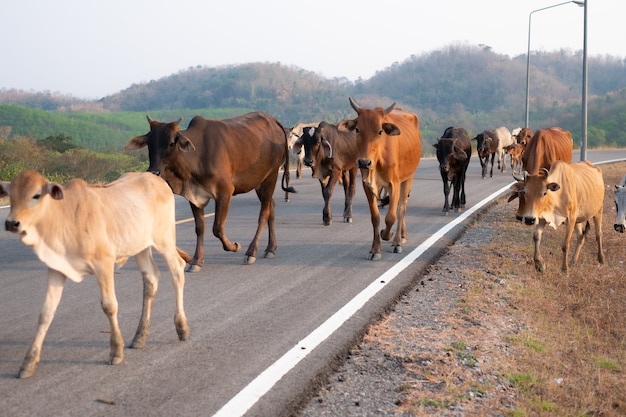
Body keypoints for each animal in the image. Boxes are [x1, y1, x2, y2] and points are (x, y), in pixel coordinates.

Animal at [0, 169, 190, 376]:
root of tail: (156, 179)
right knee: (151, 278)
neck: (63, 216)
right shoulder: (56, 268)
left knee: (177, 272)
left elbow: (109, 306)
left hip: (165, 240)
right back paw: (139, 336)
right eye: (10, 194)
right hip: (140, 247)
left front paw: (116, 351)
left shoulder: (104, 263)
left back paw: (181, 327)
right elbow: (46, 313)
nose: (11, 223)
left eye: (36, 195)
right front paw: (28, 362)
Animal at [125, 112, 296, 268]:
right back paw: (270, 248)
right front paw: (196, 261)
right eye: (149, 142)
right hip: (260, 182)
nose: (154, 172)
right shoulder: (194, 196)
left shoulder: (225, 191)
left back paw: (251, 252)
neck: (196, 156)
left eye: (172, 143)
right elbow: (200, 228)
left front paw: (234, 246)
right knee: (271, 207)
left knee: (264, 213)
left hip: (271, 176)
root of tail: (273, 120)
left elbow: (217, 228)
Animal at [336, 98, 420, 260]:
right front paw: (375, 250)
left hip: (408, 178)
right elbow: (375, 217)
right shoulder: (367, 185)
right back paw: (402, 235)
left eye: (380, 131)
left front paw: (387, 235)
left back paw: (397, 241)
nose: (364, 162)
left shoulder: (394, 184)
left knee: (401, 209)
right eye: (357, 130)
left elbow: (391, 217)